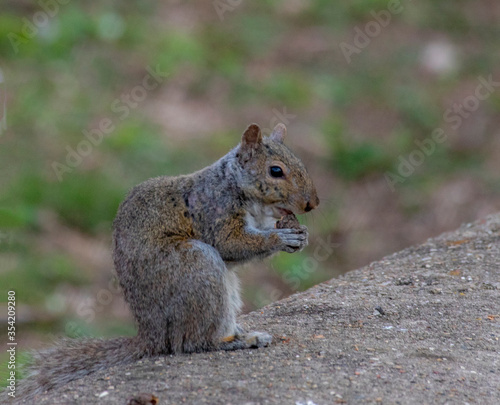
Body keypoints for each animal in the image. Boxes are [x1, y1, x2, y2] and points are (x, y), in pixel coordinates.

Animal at [17, 123, 319, 401]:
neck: (235, 186)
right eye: (276, 171)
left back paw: (240, 332)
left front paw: (300, 235)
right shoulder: (213, 212)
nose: (312, 204)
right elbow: (231, 244)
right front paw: (280, 237)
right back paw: (238, 342)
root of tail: (151, 336)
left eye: (301, 164)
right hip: (198, 264)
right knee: (193, 342)